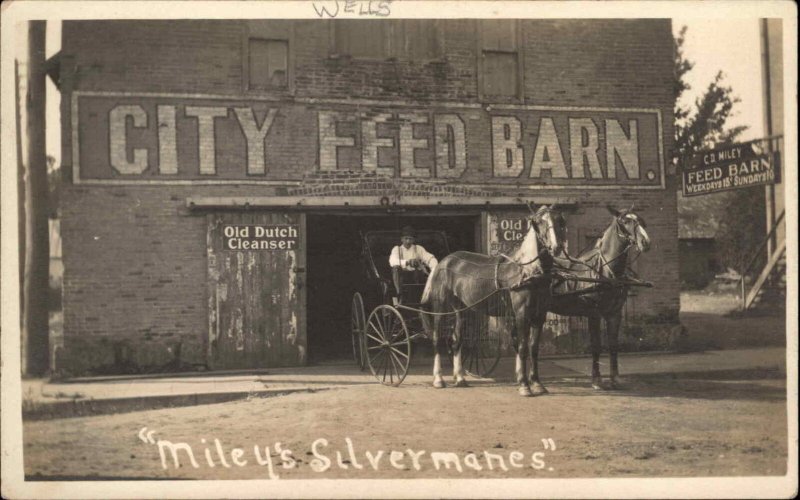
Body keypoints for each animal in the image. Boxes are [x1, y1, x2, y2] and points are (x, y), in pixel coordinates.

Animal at [422, 205, 564, 396]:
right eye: (540, 222)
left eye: (558, 220)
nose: (556, 247)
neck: (527, 270)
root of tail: (443, 262)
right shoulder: (522, 313)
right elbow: (523, 347)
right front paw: (524, 385)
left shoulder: (539, 315)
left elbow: (534, 348)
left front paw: (537, 383)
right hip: (441, 307)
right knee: (437, 338)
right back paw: (438, 379)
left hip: (461, 309)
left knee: (457, 340)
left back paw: (460, 379)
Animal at [532, 205, 648, 392]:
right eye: (625, 221)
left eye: (641, 220)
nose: (646, 242)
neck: (607, 271)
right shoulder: (594, 314)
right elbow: (596, 345)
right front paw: (597, 380)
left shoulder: (615, 314)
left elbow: (613, 345)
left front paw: (615, 379)